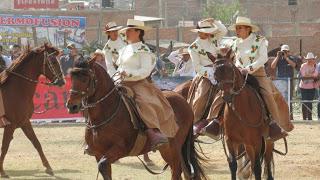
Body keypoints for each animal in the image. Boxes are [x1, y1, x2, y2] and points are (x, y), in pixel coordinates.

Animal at [0, 44, 65, 178]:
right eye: (54, 61)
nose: (62, 81)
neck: (17, 90)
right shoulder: (10, 125)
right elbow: (4, 147)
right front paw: (2, 171)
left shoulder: (25, 122)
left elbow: (36, 143)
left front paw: (48, 167)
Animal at [66, 57, 208, 180]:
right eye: (72, 78)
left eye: (85, 78)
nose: (71, 106)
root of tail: (184, 102)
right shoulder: (98, 153)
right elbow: (105, 171)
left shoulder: (119, 149)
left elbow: (102, 165)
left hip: (172, 148)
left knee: (177, 171)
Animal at [211, 52, 274, 180]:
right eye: (215, 73)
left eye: (230, 70)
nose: (227, 95)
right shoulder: (230, 140)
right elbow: (233, 165)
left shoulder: (256, 141)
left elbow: (257, 167)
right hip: (247, 145)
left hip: (266, 141)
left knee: (267, 159)